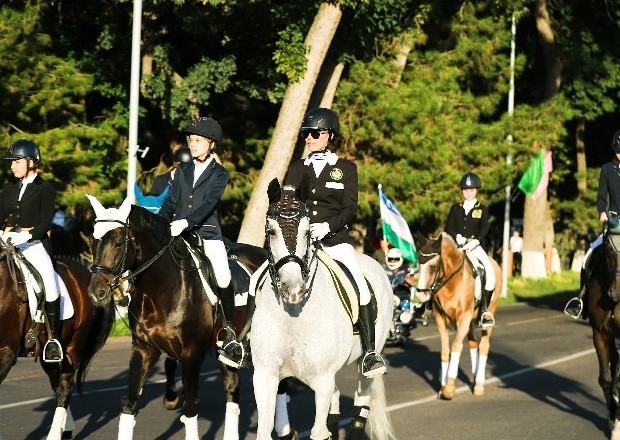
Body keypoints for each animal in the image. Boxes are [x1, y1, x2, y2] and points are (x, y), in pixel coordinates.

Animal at [0, 248, 112, 440]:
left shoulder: (6, 353)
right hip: (51, 356)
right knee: (57, 384)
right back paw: (66, 429)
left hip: (73, 346)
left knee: (65, 387)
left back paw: (56, 434)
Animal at [251, 178, 392, 440]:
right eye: (271, 231)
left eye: (308, 232)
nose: (293, 288)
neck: (293, 316)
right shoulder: (265, 376)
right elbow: (264, 431)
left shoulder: (323, 380)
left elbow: (317, 432)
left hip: (368, 360)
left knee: (361, 401)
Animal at [414, 232, 502, 400]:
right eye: (418, 264)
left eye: (433, 266)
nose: (421, 296)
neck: (451, 282)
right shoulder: (441, 319)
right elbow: (445, 351)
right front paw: (443, 387)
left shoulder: (463, 317)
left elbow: (456, 346)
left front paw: (449, 387)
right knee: (473, 343)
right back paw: (474, 378)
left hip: (488, 313)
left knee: (484, 345)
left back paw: (479, 384)